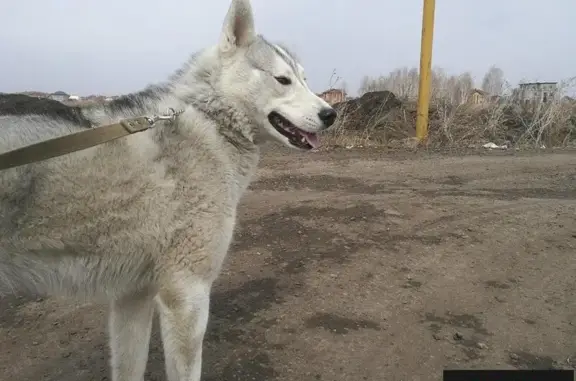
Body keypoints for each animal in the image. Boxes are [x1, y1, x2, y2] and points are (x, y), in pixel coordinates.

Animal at [0, 0, 338, 380]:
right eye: (283, 80)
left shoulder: (133, 295)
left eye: (305, 80)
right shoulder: (186, 294)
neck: (209, 120)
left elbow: (129, 368)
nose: (331, 114)